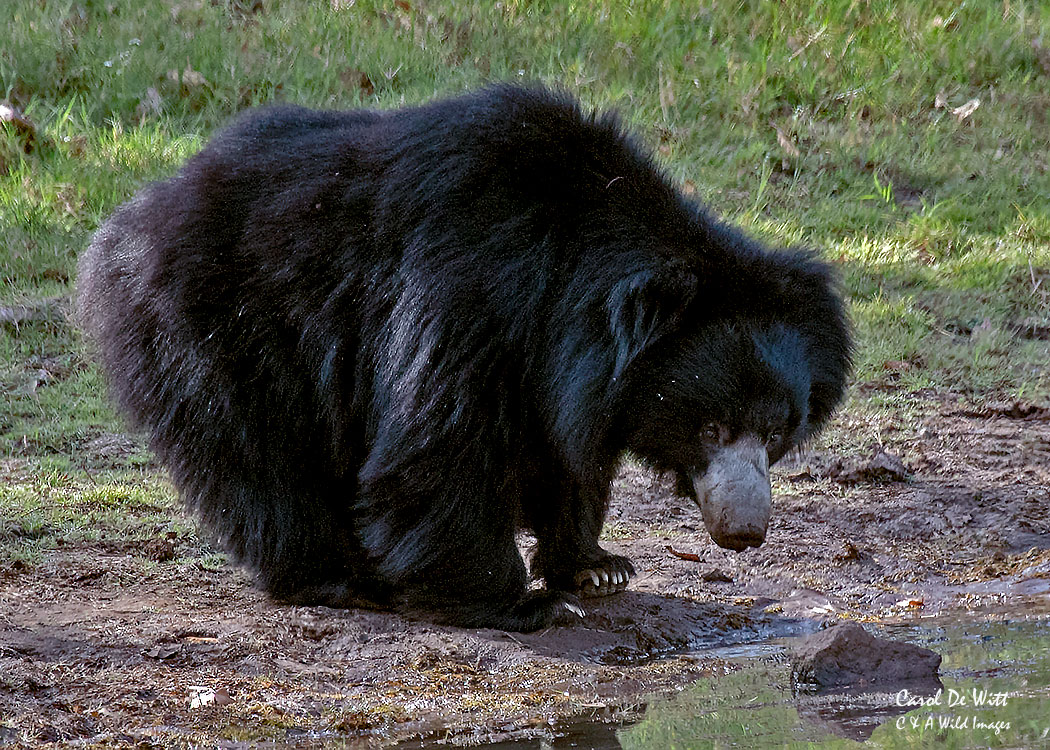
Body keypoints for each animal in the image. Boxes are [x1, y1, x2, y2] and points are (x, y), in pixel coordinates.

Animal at [76, 84, 851, 632]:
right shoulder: (471, 294)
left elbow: (571, 452)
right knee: (263, 457)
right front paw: (524, 605)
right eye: (712, 427)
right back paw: (336, 578)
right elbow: (442, 440)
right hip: (220, 328)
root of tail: (129, 223)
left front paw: (597, 570)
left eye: (775, 432)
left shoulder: (570, 370)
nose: (745, 532)